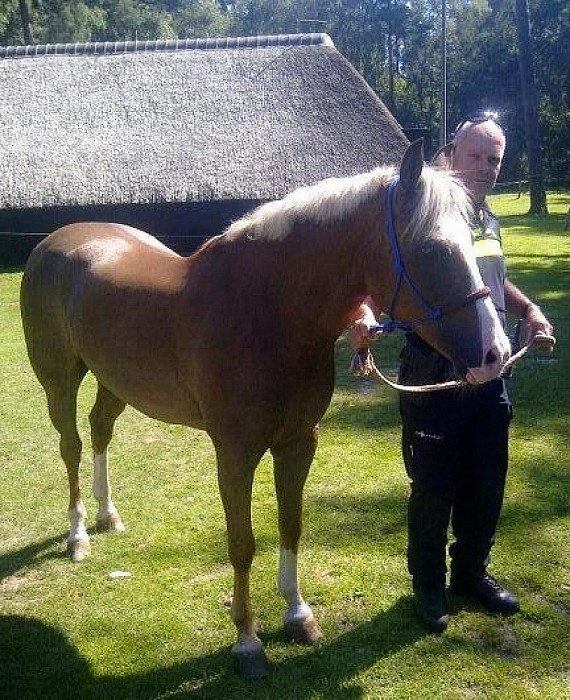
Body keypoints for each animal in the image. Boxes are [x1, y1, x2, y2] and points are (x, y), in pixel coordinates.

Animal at [20, 141, 510, 678]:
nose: (496, 355)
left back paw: (108, 515)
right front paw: (248, 642)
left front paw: (298, 616)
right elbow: (242, 542)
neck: (268, 311)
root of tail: (57, 241)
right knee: (71, 446)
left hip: (116, 381)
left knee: (100, 430)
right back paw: (78, 536)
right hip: (59, 380)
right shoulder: (235, 452)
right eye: (431, 250)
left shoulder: (298, 442)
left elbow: (290, 526)